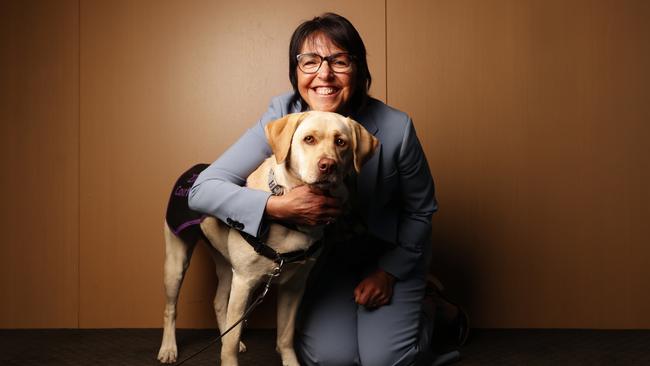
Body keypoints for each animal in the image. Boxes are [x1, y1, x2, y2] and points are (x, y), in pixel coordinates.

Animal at [158, 111, 378, 366]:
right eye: (309, 139)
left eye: (341, 142)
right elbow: (231, 342)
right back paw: (168, 348)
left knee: (220, 303)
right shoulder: (244, 282)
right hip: (177, 263)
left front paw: (290, 361)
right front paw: (229, 358)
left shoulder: (294, 286)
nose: (328, 165)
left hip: (226, 265)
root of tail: (194, 168)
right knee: (171, 308)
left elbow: (285, 334)